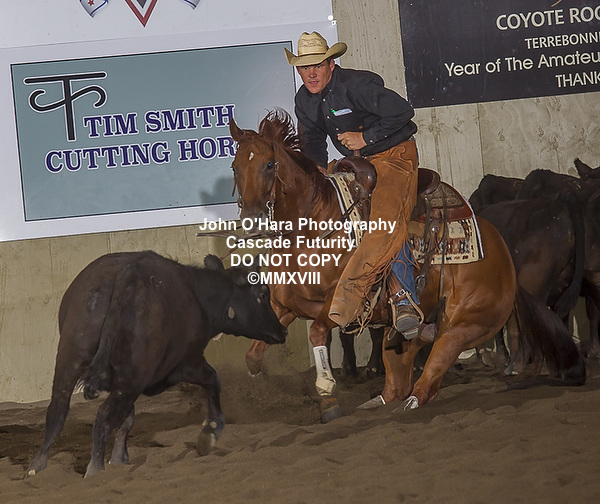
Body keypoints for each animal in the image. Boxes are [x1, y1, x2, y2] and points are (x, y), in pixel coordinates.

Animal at [27, 251, 287, 478]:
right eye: (264, 293)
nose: (282, 331)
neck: (199, 296)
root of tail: (126, 272)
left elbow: (127, 420)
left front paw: (120, 458)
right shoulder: (186, 363)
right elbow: (213, 380)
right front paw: (210, 432)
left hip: (71, 359)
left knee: (58, 411)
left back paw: (37, 466)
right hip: (133, 377)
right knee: (103, 417)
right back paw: (95, 469)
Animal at [229, 110, 585, 421]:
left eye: (270, 164)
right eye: (234, 166)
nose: (252, 219)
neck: (315, 228)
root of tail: (504, 261)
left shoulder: (341, 304)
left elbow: (318, 332)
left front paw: (328, 394)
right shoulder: (284, 305)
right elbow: (252, 355)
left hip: (463, 325)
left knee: (429, 378)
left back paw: (410, 403)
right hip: (403, 333)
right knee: (398, 377)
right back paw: (378, 399)